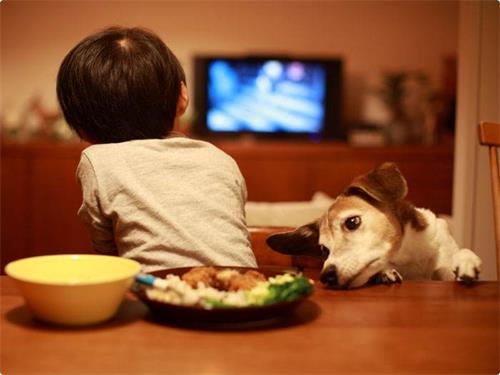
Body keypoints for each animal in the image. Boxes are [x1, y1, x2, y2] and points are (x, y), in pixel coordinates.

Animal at [266, 163, 480, 290]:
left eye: (352, 222)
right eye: (323, 249)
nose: (326, 276)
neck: (408, 256)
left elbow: (456, 259)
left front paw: (466, 262)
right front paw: (385, 273)